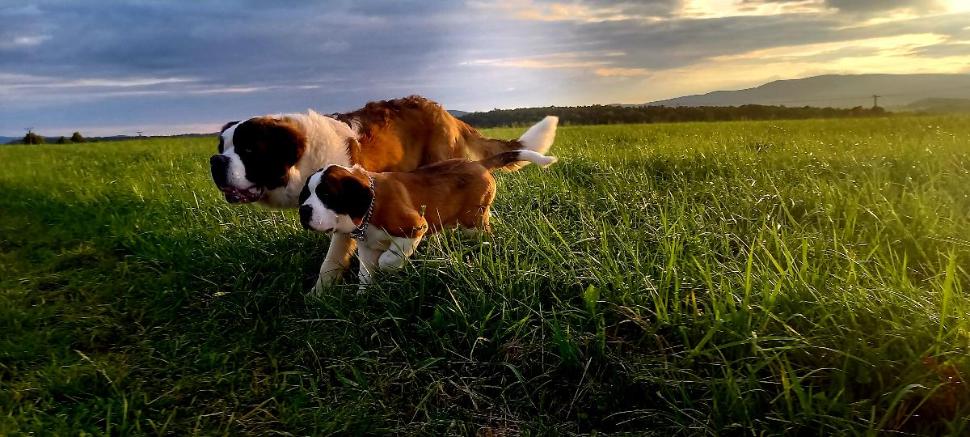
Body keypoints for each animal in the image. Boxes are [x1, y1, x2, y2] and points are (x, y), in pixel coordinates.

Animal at [294, 149, 556, 286]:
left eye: (327, 195)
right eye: (305, 195)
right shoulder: (367, 248)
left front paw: (391, 268)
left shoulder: (415, 227)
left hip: (473, 221)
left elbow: (388, 259)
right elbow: (366, 273)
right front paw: (364, 297)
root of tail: (479, 163)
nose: (304, 210)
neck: (368, 208)